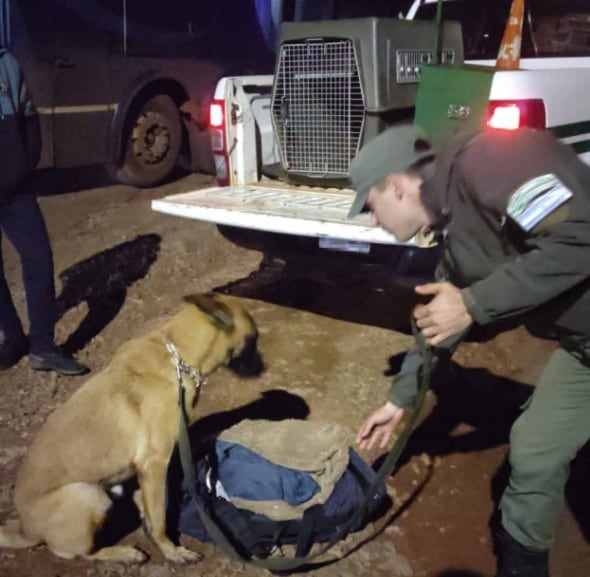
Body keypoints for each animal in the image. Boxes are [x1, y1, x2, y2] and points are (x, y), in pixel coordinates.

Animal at [0, 292, 262, 564]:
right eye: (253, 339)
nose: (262, 371)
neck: (178, 356)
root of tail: (26, 529)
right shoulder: (155, 464)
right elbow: (159, 516)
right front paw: (171, 550)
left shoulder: (142, 471)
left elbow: (148, 510)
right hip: (90, 495)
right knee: (82, 553)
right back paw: (123, 553)